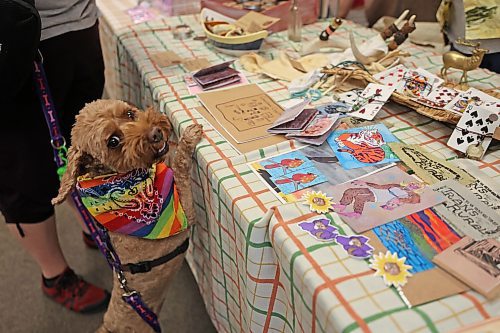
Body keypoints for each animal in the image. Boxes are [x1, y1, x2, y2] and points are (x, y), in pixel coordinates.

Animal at [52, 99, 203, 332]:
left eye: (130, 114)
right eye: (113, 141)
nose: (156, 133)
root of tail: (108, 326)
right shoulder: (186, 210)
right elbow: (180, 165)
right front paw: (188, 139)